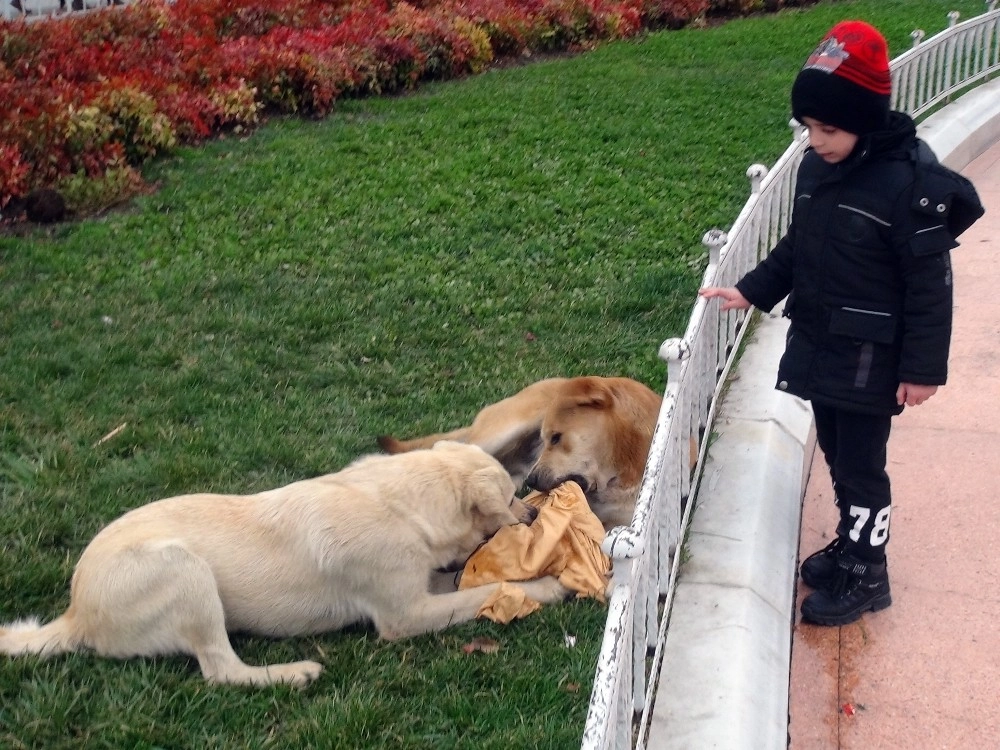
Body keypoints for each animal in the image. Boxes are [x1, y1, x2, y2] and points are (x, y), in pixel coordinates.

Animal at [0, 444, 568, 692]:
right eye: (512, 496)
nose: (533, 512)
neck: (398, 503)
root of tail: (76, 614)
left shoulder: (424, 584)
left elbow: (469, 580)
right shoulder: (404, 616)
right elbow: (484, 589)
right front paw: (546, 585)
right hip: (183, 571)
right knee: (222, 672)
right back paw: (294, 672)